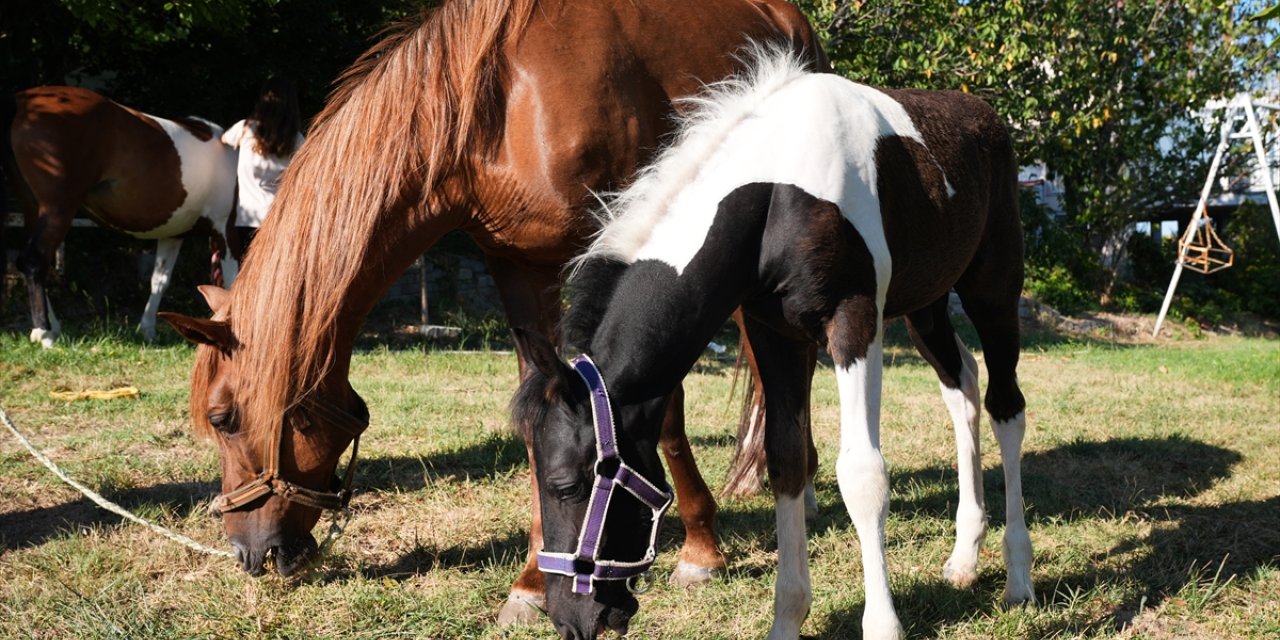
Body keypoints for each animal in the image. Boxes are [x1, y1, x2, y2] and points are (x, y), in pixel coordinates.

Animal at [0, 86, 240, 345]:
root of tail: (22, 102)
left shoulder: (174, 234)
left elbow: (159, 280)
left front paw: (147, 329)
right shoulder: (225, 229)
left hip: (33, 208)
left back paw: (52, 328)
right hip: (58, 209)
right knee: (34, 260)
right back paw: (45, 333)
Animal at [157, 0, 819, 627]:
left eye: (222, 418)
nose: (246, 553)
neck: (501, 106)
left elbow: (662, 413)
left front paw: (701, 550)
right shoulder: (519, 266)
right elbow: (540, 417)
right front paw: (531, 584)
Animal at [512, 47, 1039, 637]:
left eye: (565, 485)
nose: (572, 617)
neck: (778, 189)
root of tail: (985, 116)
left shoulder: (854, 322)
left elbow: (862, 474)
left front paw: (882, 624)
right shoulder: (774, 333)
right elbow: (786, 459)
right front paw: (787, 618)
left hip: (992, 293)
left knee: (1005, 407)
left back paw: (1019, 579)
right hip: (924, 309)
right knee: (961, 386)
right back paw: (965, 558)